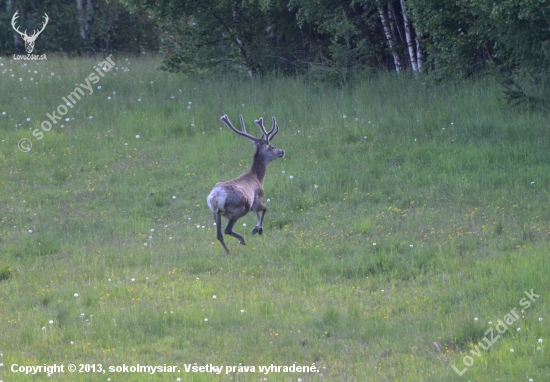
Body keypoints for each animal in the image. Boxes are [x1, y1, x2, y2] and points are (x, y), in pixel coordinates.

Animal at [206, 115, 284, 254]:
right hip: (238, 209)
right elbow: (264, 209)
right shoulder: (257, 197)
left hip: (215, 213)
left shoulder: (253, 204)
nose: (282, 151)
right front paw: (258, 229)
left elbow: (258, 212)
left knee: (219, 235)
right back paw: (242, 240)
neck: (257, 177)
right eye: (272, 147)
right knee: (227, 230)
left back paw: (228, 252)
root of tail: (215, 197)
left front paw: (258, 228)